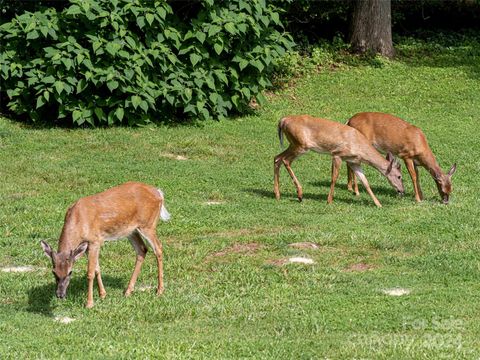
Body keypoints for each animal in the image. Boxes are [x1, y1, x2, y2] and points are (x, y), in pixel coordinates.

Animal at [40, 181, 171, 308]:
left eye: (70, 272)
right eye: (54, 272)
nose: (60, 295)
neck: (78, 221)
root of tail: (159, 193)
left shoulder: (95, 240)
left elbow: (90, 273)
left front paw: (89, 303)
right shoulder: (89, 245)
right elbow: (97, 268)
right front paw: (102, 294)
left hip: (148, 225)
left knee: (158, 248)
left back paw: (159, 290)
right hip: (131, 230)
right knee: (142, 249)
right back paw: (128, 291)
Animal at [274, 114, 404, 207]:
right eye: (399, 176)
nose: (402, 191)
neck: (359, 146)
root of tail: (283, 120)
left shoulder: (354, 161)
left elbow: (365, 182)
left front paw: (378, 204)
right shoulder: (337, 154)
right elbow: (334, 178)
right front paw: (329, 201)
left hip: (293, 144)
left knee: (277, 158)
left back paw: (277, 195)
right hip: (301, 145)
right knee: (285, 160)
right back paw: (300, 194)